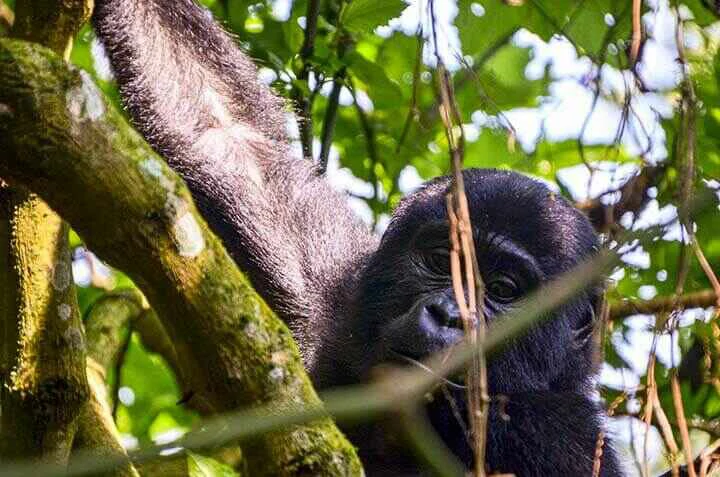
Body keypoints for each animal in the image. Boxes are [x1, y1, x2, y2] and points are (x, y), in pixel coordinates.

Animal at [93, 1, 624, 474]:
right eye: (439, 260)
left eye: (502, 290)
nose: (448, 314)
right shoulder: (331, 291)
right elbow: (223, 131)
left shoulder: (565, 439)